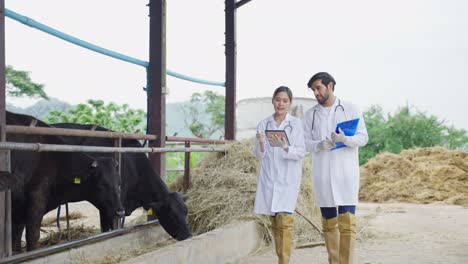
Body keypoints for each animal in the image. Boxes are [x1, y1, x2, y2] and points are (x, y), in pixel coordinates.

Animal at [5, 112, 124, 252]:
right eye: (102, 185)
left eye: (119, 184)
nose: (120, 212)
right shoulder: (36, 198)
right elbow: (32, 235)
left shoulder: (19, 209)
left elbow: (15, 239)